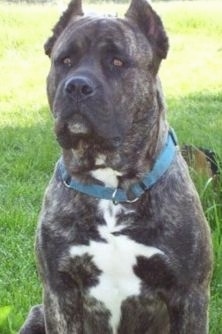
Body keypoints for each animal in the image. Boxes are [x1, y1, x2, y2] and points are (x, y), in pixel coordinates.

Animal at [20, 0, 212, 334]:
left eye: (118, 62)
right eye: (65, 60)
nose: (77, 86)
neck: (112, 188)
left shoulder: (190, 294)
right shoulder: (59, 292)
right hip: (35, 315)